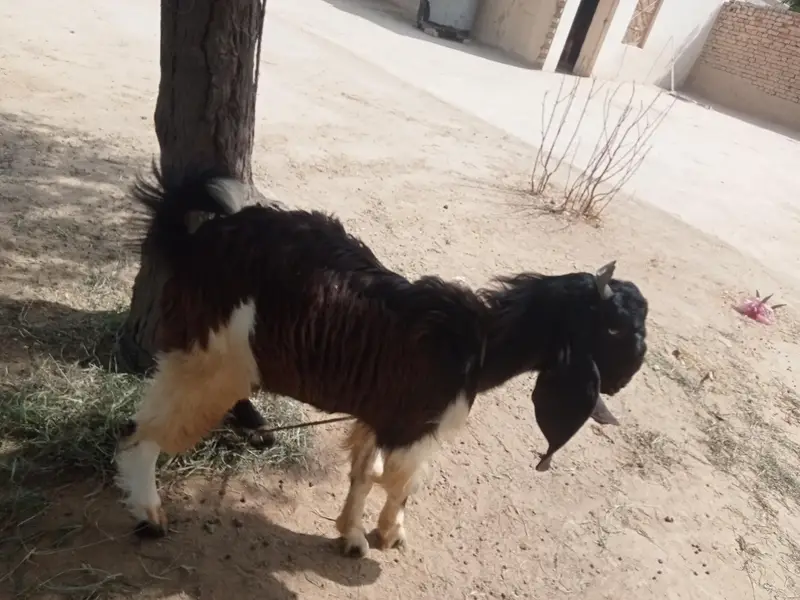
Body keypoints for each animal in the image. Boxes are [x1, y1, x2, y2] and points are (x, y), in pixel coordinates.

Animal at [115, 167, 649, 558]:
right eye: (616, 329)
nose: (623, 381)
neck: (478, 342)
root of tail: (194, 241)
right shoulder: (412, 425)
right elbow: (398, 483)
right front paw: (390, 534)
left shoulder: (378, 413)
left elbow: (362, 473)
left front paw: (351, 535)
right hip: (211, 357)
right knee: (140, 432)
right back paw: (149, 514)